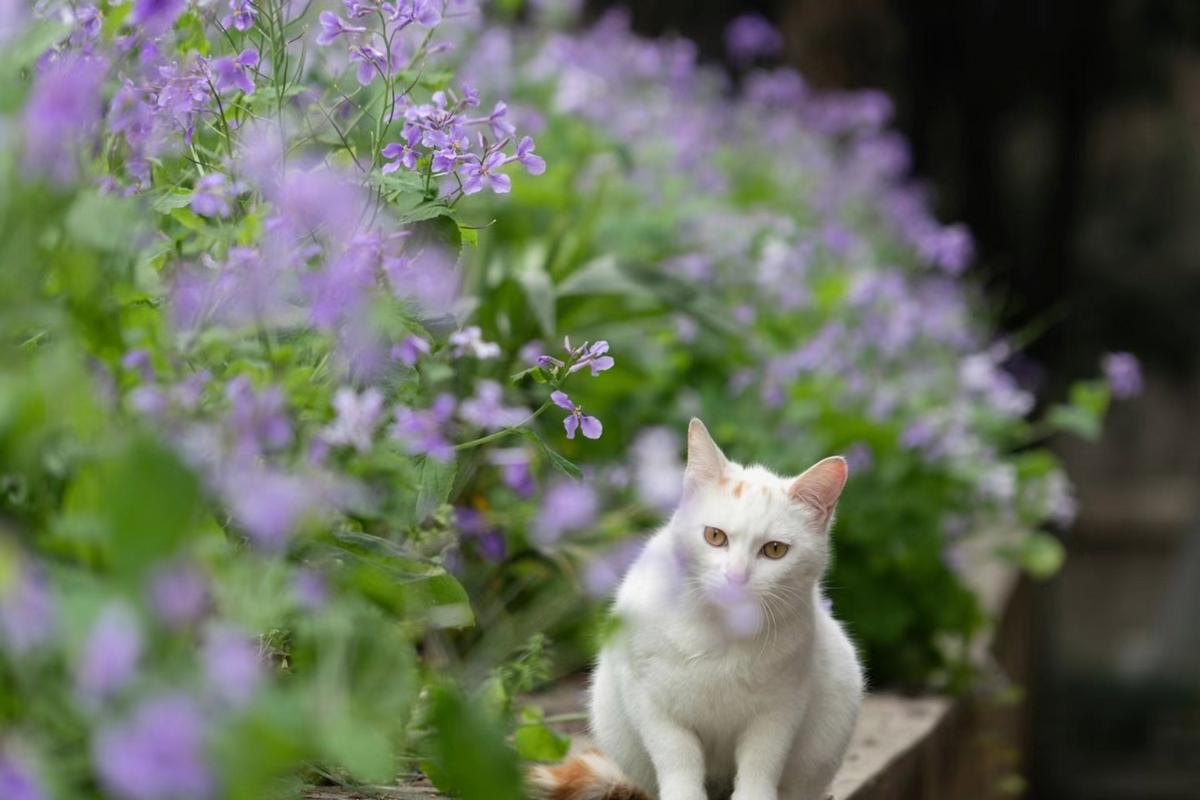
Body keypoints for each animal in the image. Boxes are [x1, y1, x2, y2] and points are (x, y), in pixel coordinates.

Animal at [535, 419, 864, 800]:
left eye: (775, 550)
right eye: (715, 536)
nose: (736, 577)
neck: (721, 630)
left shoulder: (780, 710)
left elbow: (761, 763)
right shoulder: (652, 703)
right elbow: (677, 758)